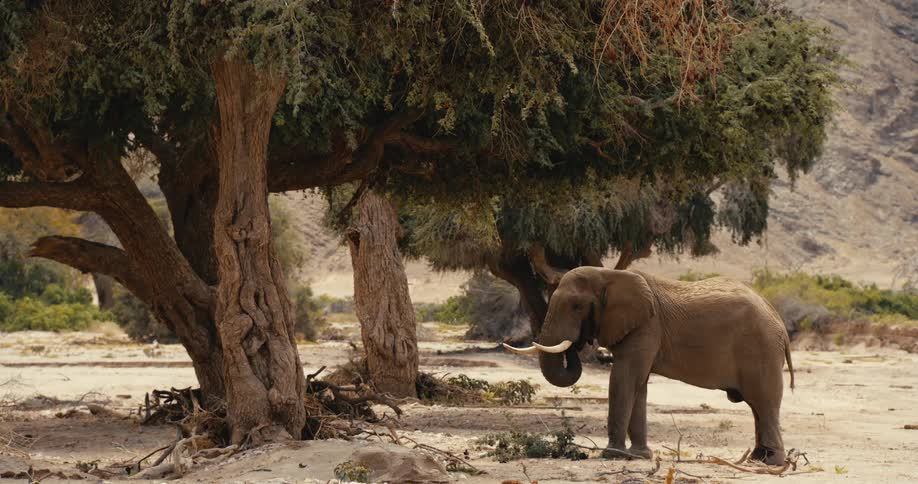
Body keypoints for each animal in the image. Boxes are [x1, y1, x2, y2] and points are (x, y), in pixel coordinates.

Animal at [504, 267, 794, 466]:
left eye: (576, 307)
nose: (580, 341)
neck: (609, 274)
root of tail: (779, 321)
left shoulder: (647, 326)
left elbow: (624, 379)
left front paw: (613, 455)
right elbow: (639, 385)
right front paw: (640, 456)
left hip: (761, 349)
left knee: (763, 402)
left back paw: (771, 462)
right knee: (757, 407)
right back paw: (757, 459)